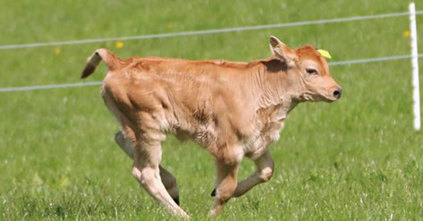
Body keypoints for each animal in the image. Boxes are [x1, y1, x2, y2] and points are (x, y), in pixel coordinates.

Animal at [82, 35, 342, 218]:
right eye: (311, 70)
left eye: (326, 67)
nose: (336, 91)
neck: (262, 87)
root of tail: (120, 63)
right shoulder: (228, 150)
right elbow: (227, 189)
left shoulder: (256, 142)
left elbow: (267, 170)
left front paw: (216, 191)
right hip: (148, 129)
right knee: (145, 172)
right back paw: (182, 214)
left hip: (135, 128)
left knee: (121, 140)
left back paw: (173, 187)